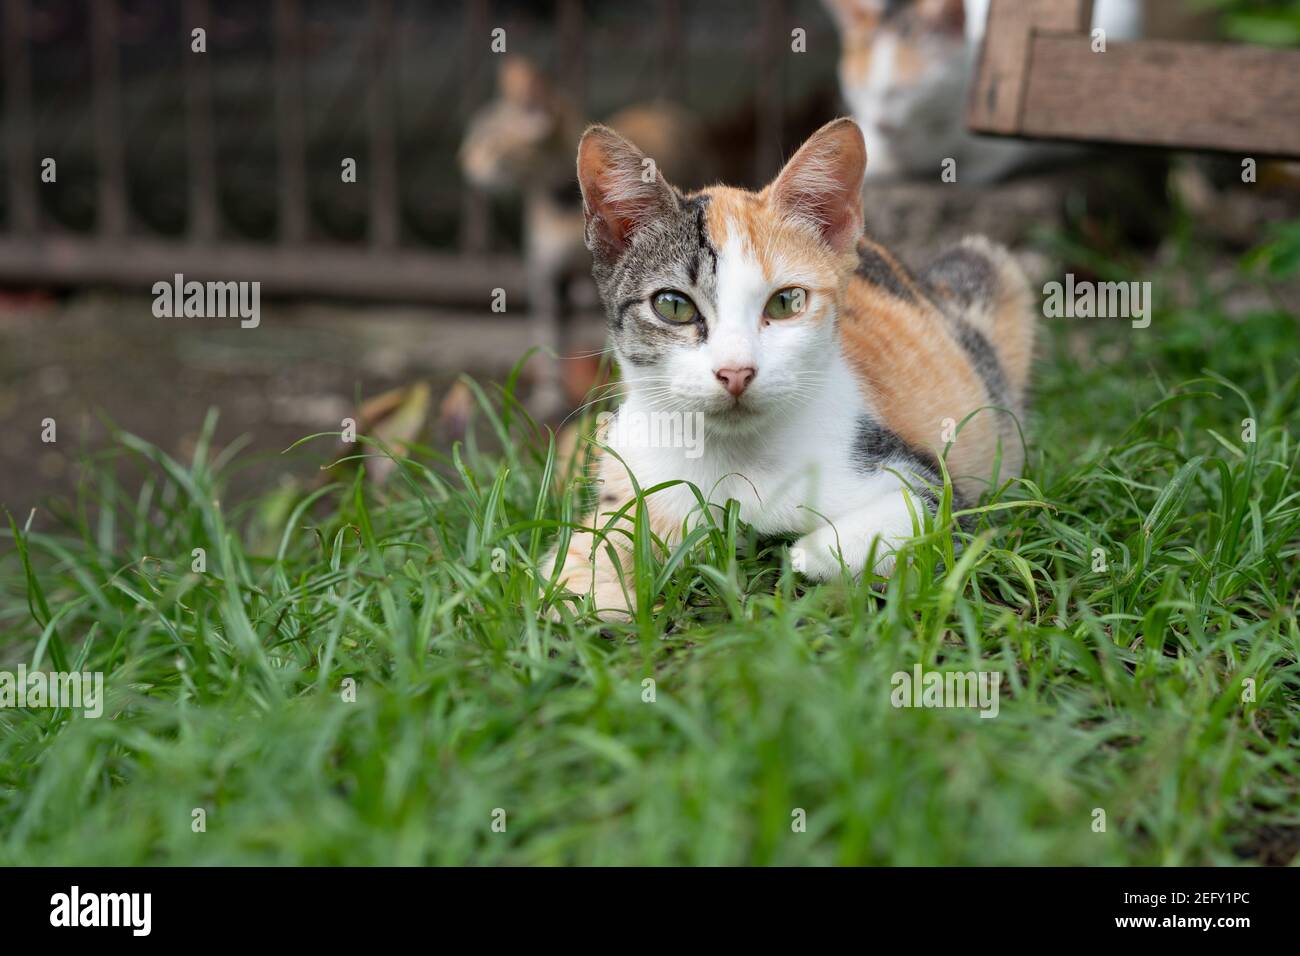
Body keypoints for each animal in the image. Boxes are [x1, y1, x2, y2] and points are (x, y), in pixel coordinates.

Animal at [543, 117, 1029, 621]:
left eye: (786, 301)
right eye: (673, 305)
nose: (736, 371)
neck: (737, 464)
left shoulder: (922, 480)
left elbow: (928, 518)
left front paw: (805, 554)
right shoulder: (633, 474)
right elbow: (576, 567)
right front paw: (595, 593)